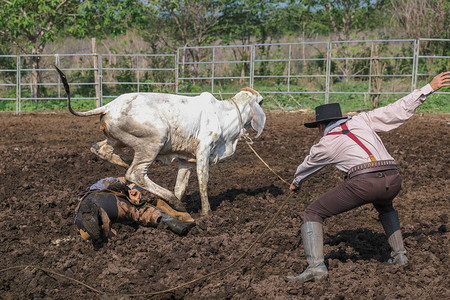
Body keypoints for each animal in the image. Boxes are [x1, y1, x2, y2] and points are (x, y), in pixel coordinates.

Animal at [57, 67, 266, 216]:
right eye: (261, 102)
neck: (223, 115)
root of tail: (110, 106)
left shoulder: (186, 160)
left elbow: (180, 185)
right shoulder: (204, 151)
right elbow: (203, 181)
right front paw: (207, 214)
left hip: (115, 139)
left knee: (100, 149)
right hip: (155, 139)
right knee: (135, 173)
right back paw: (172, 201)